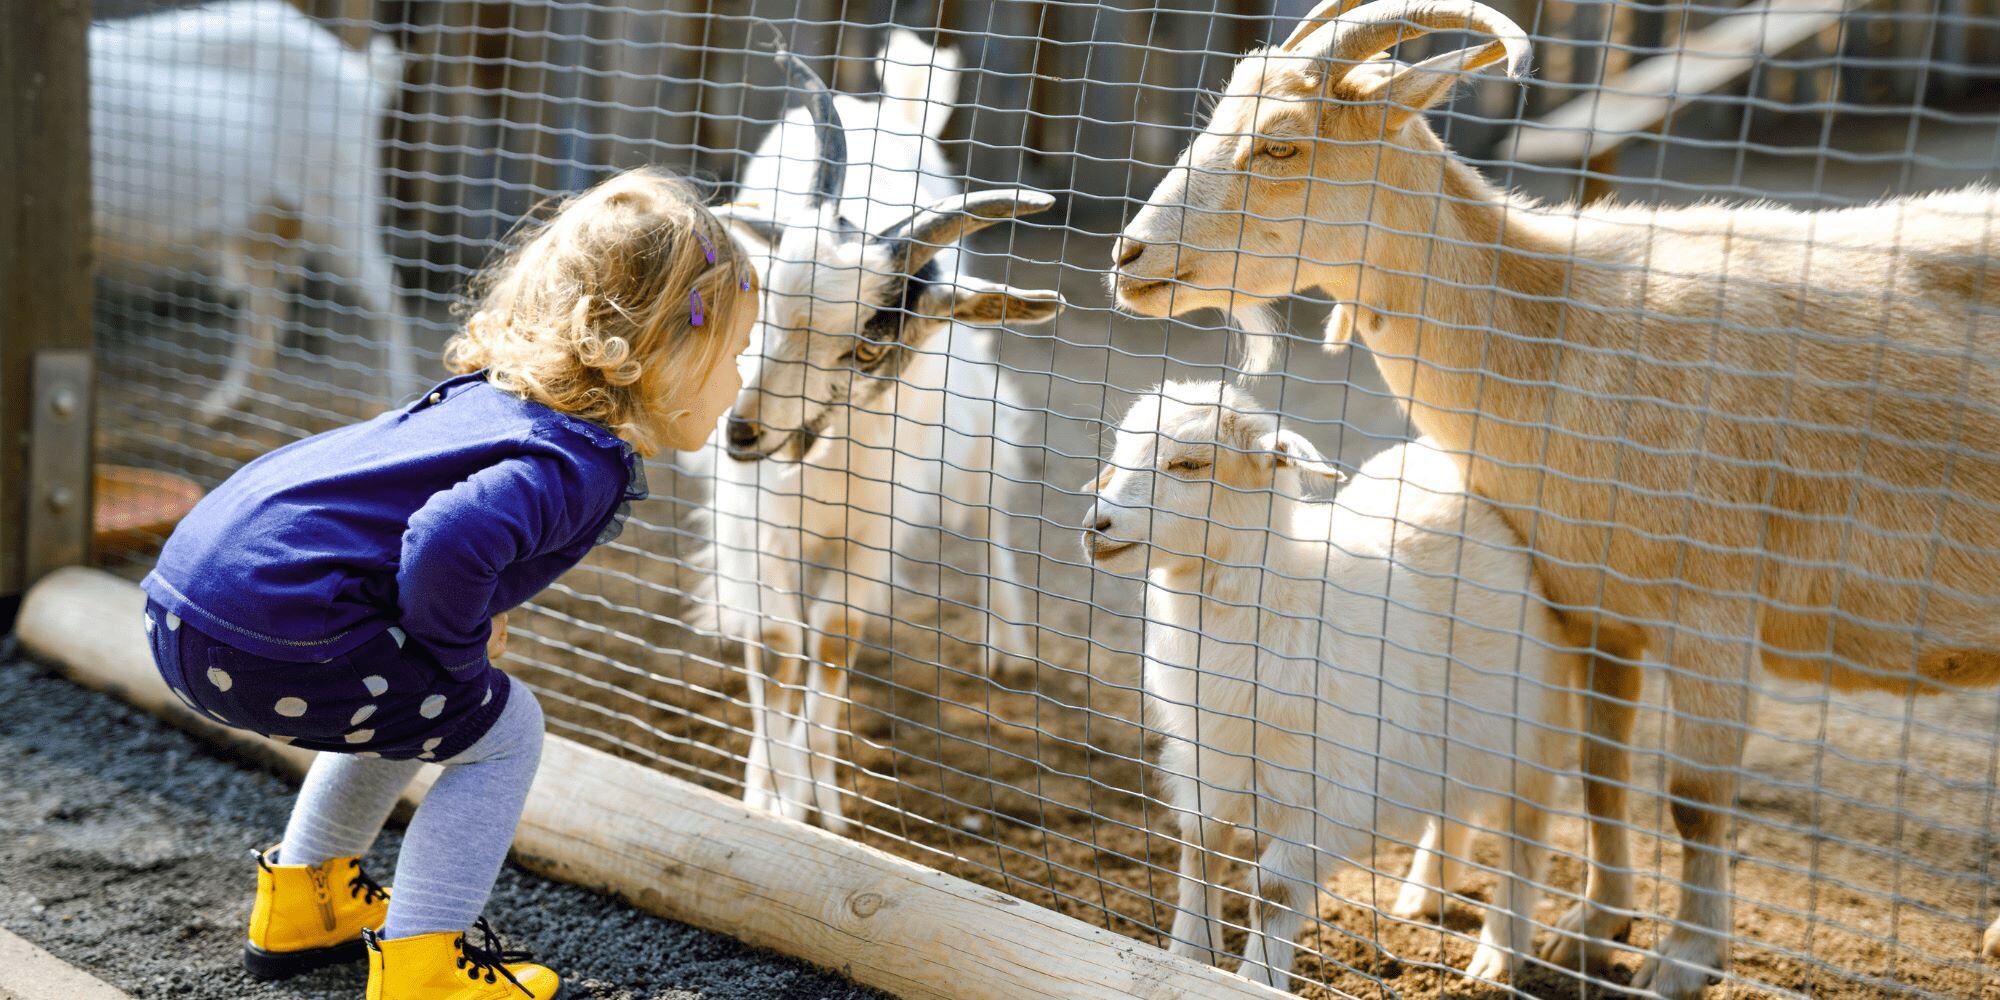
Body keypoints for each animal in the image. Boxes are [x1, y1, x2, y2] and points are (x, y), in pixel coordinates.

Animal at [94, 0, 414, 420]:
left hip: (338, 204)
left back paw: (399, 399)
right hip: (260, 225)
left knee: (386, 293)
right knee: (266, 311)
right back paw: (222, 405)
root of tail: (359, 75)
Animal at [712, 35, 1072, 832]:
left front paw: (818, 808)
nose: (743, 431)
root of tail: (890, 106)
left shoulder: (873, 533)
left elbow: (831, 645)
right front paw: (767, 797)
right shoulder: (756, 522)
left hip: (974, 435)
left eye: (868, 349)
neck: (822, 459)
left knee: (990, 515)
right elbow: (777, 646)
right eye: (766, 307)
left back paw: (1008, 647)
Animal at [1080, 380, 1576, 984]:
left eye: (1190, 464)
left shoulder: (1335, 788)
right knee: (1453, 803)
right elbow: (1200, 856)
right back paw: (1424, 895)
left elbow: (1273, 890)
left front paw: (1257, 980)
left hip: (1534, 721)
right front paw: (1188, 958)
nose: (1096, 527)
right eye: (1120, 452)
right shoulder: (1210, 762)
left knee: (1524, 832)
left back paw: (1497, 953)